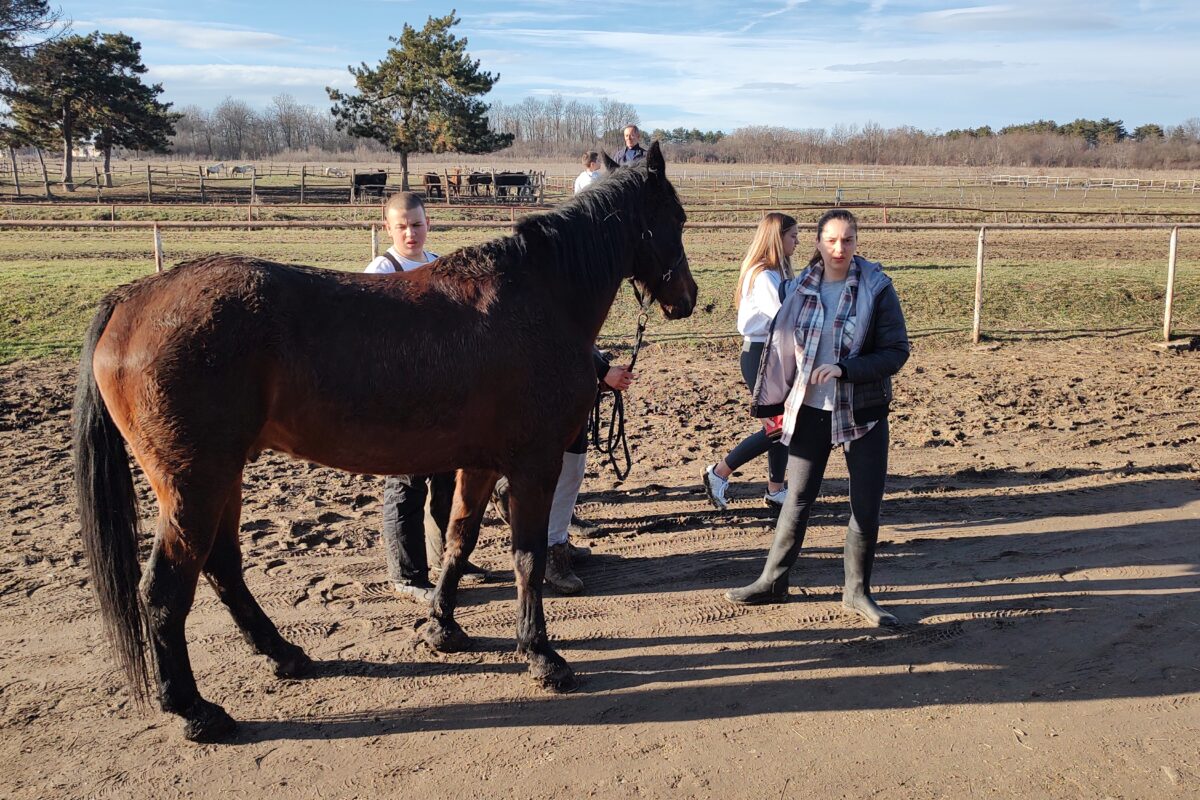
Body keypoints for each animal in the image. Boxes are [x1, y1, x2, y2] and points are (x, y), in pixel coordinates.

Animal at [75, 140, 700, 743]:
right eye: (676, 218)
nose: (688, 298)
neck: (540, 298)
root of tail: (132, 298)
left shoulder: (479, 464)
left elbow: (458, 540)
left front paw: (442, 627)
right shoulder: (533, 465)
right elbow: (526, 556)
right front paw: (542, 656)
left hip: (222, 478)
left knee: (224, 567)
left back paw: (285, 655)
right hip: (195, 485)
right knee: (165, 590)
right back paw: (194, 710)